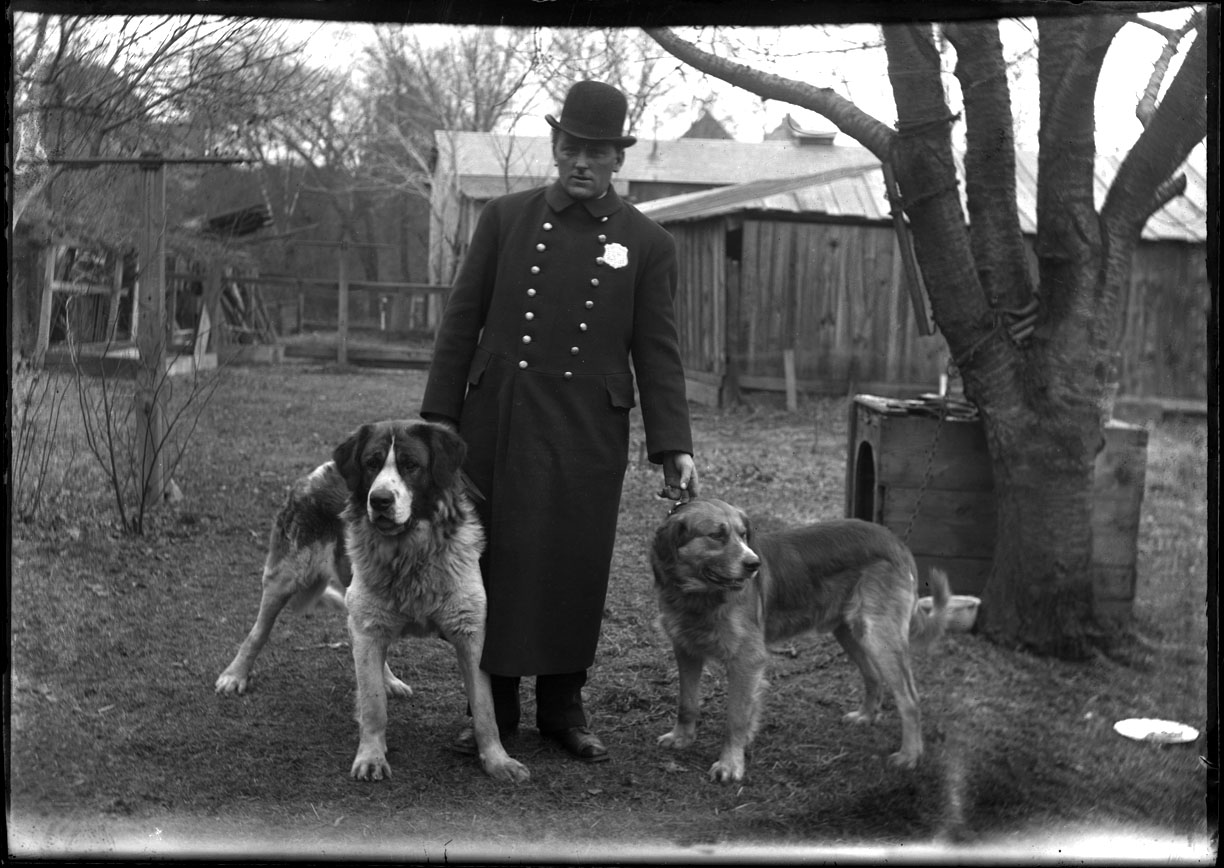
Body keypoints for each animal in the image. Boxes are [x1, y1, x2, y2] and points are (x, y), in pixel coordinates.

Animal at [217, 418, 528, 783]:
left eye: (411, 465)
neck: (409, 553)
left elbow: (484, 708)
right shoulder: (368, 625)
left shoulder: (470, 631)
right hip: (287, 577)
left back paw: (389, 679)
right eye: (371, 463)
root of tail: (319, 472)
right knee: (258, 631)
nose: (379, 500)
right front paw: (371, 756)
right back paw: (235, 674)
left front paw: (497, 759)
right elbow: (373, 703)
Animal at [646, 497, 949, 783]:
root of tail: (894, 540)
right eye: (716, 535)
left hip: (878, 634)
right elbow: (687, 702)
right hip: (850, 632)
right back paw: (866, 716)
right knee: (873, 675)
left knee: (909, 698)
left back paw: (910, 755)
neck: (697, 595)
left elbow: (735, 718)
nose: (754, 565)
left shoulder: (746, 660)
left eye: (743, 534)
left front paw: (730, 764)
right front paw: (682, 737)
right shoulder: (685, 649)